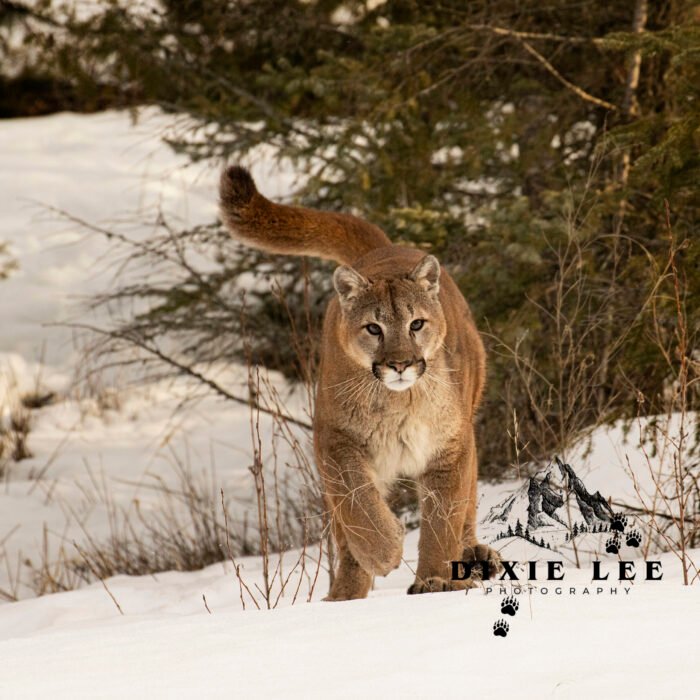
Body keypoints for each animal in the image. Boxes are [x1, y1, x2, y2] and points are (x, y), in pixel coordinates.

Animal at [219, 166, 502, 599]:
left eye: (416, 324)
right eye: (373, 328)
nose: (400, 364)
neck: (399, 403)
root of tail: (385, 248)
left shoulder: (450, 447)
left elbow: (443, 516)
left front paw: (434, 580)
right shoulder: (333, 440)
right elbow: (358, 506)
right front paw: (384, 552)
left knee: (467, 503)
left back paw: (473, 559)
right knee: (344, 529)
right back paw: (344, 594)